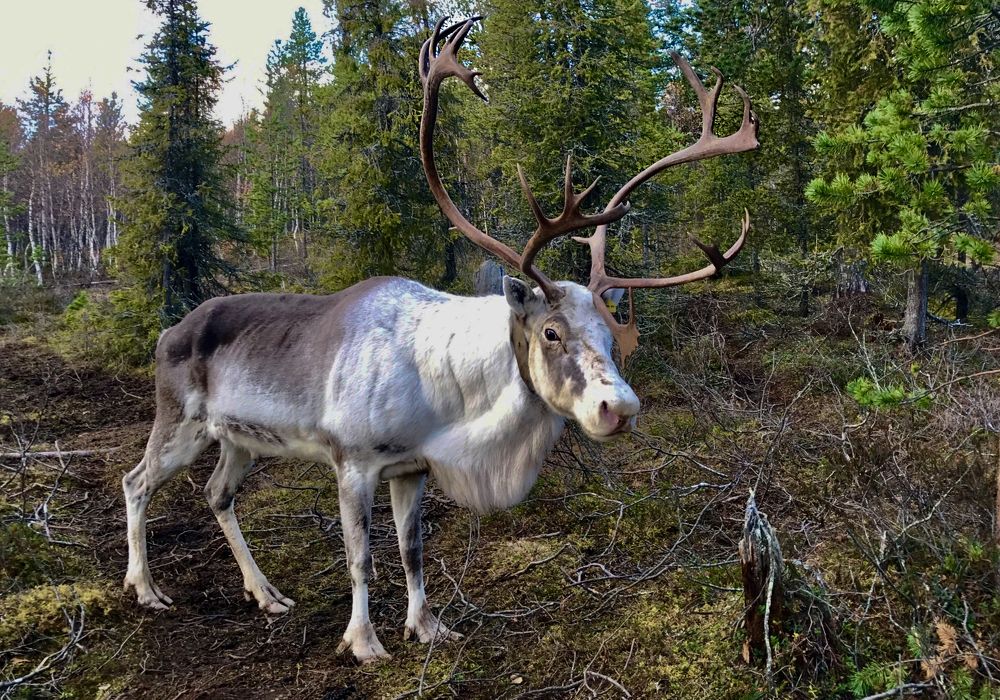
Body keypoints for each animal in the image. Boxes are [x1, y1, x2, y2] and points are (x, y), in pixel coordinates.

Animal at [121, 17, 758, 663]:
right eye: (551, 331)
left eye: (610, 332)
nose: (620, 407)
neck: (445, 398)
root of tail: (169, 330)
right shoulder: (352, 462)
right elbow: (361, 559)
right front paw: (364, 642)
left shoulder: (412, 467)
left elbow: (412, 552)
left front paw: (427, 626)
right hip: (179, 421)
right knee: (137, 480)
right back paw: (146, 588)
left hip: (240, 439)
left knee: (216, 494)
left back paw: (266, 594)